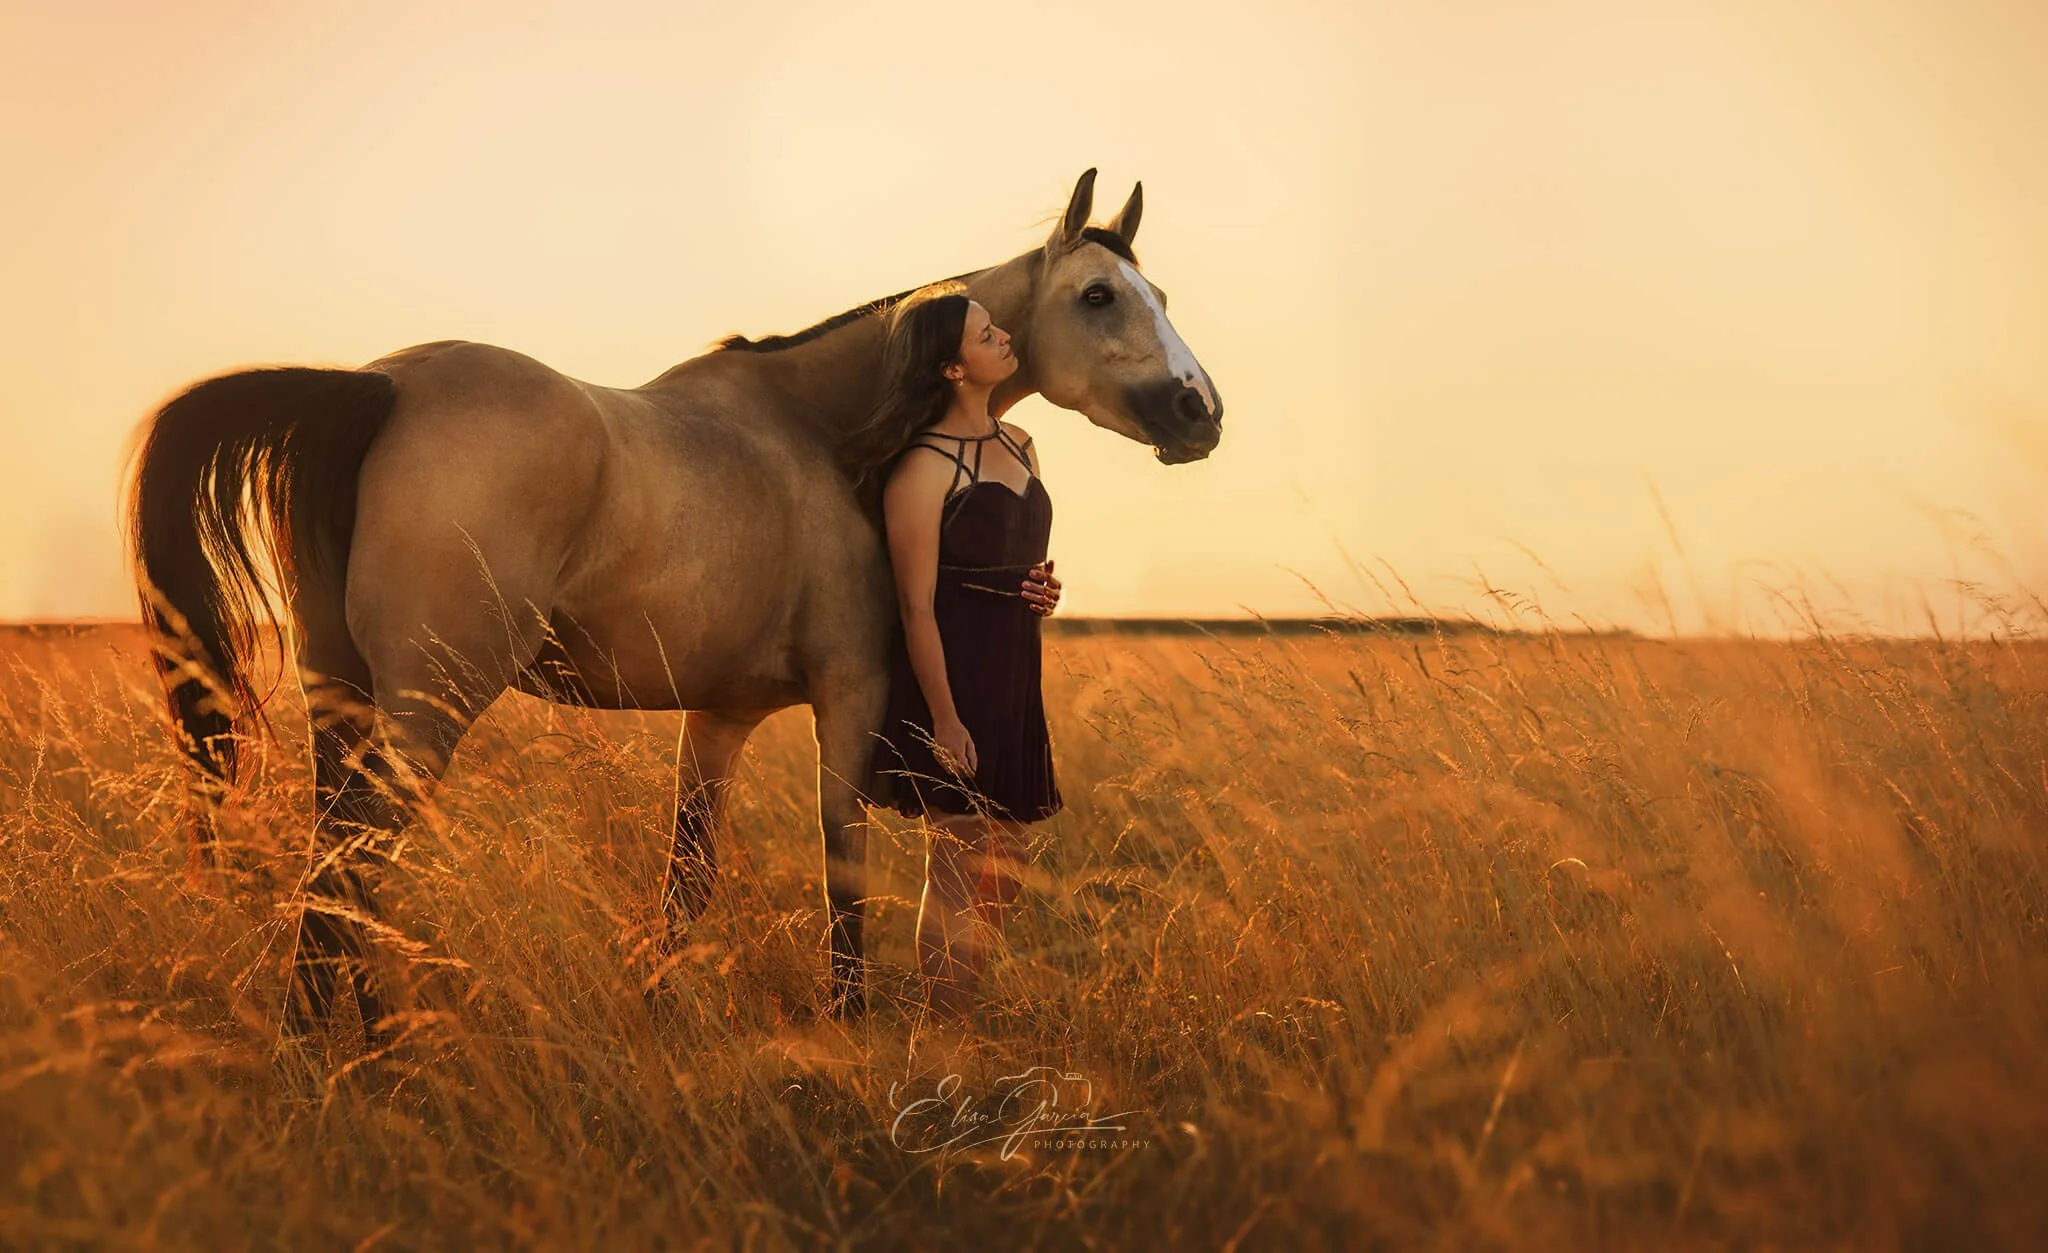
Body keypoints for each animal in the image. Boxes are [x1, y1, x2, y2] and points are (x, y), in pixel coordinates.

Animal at [125, 167, 1224, 1038]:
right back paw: (361, 1060)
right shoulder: (853, 697)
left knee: (340, 859)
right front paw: (848, 1020)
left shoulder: (720, 716)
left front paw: (657, 1007)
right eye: (1097, 296)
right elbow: (844, 865)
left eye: (1159, 292)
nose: (1199, 410)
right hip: (426, 706)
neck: (823, 433)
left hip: (345, 698)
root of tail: (380, 387)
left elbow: (686, 875)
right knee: (351, 863)